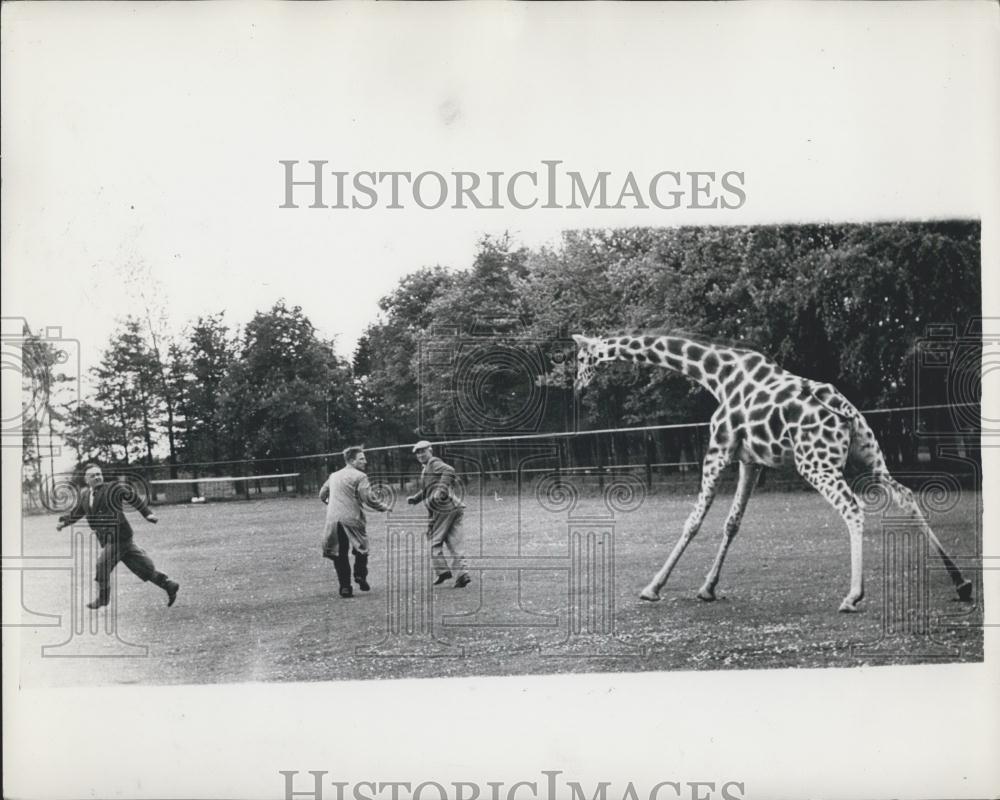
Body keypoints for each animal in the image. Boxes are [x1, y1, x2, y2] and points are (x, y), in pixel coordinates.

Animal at [576, 332, 972, 612]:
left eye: (580, 358)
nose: (578, 389)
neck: (716, 374)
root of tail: (844, 409)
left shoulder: (717, 450)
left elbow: (693, 521)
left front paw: (652, 588)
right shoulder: (750, 461)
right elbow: (732, 523)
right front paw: (707, 588)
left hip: (817, 463)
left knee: (853, 507)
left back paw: (853, 596)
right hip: (869, 456)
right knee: (904, 495)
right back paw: (960, 582)